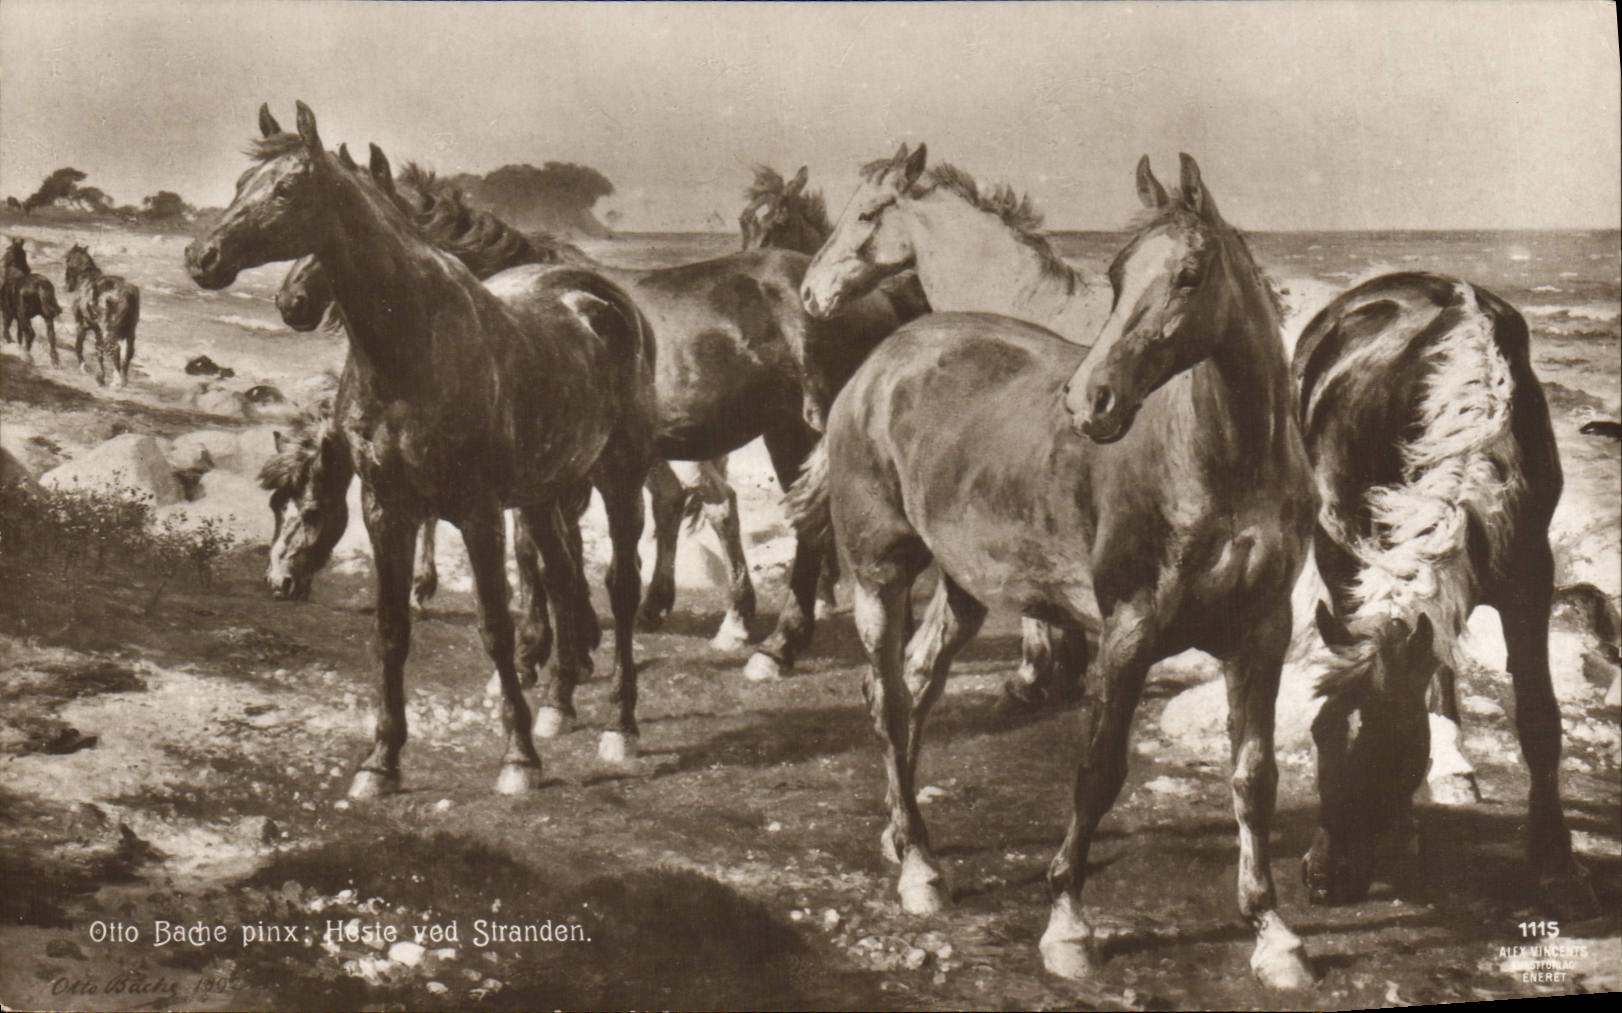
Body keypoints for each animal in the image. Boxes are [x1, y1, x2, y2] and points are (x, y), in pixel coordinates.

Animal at [64, 244, 140, 387]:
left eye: (67, 260)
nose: (67, 286)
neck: (86, 279)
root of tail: (127, 293)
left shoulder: (82, 326)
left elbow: (79, 346)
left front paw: (84, 368)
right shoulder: (97, 329)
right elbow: (99, 350)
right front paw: (101, 376)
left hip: (109, 330)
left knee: (115, 349)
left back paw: (116, 381)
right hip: (129, 331)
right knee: (128, 353)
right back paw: (123, 379)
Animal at [188, 102, 658, 794]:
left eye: (286, 189)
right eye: (241, 184)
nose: (202, 256)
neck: (412, 348)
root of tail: (599, 296)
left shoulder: (480, 512)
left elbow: (495, 626)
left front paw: (518, 757)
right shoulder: (388, 508)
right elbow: (391, 630)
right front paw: (380, 762)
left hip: (619, 477)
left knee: (620, 584)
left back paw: (620, 726)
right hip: (545, 492)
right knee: (562, 574)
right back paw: (560, 699)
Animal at [790, 155, 1318, 988]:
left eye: (1190, 274)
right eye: (1118, 273)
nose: (1091, 400)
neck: (1226, 461)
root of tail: (875, 367)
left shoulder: (1262, 632)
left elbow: (1254, 779)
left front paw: (1273, 934)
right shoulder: (1129, 629)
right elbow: (1097, 771)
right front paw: (1067, 923)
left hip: (964, 588)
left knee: (917, 683)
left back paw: (908, 838)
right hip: (880, 573)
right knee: (889, 698)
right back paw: (919, 869)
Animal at [1292, 271, 1597, 917]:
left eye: (1387, 754)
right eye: (1319, 737)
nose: (1326, 878)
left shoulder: (1530, 576)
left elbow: (1539, 719)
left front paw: (1557, 866)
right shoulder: (1346, 554)